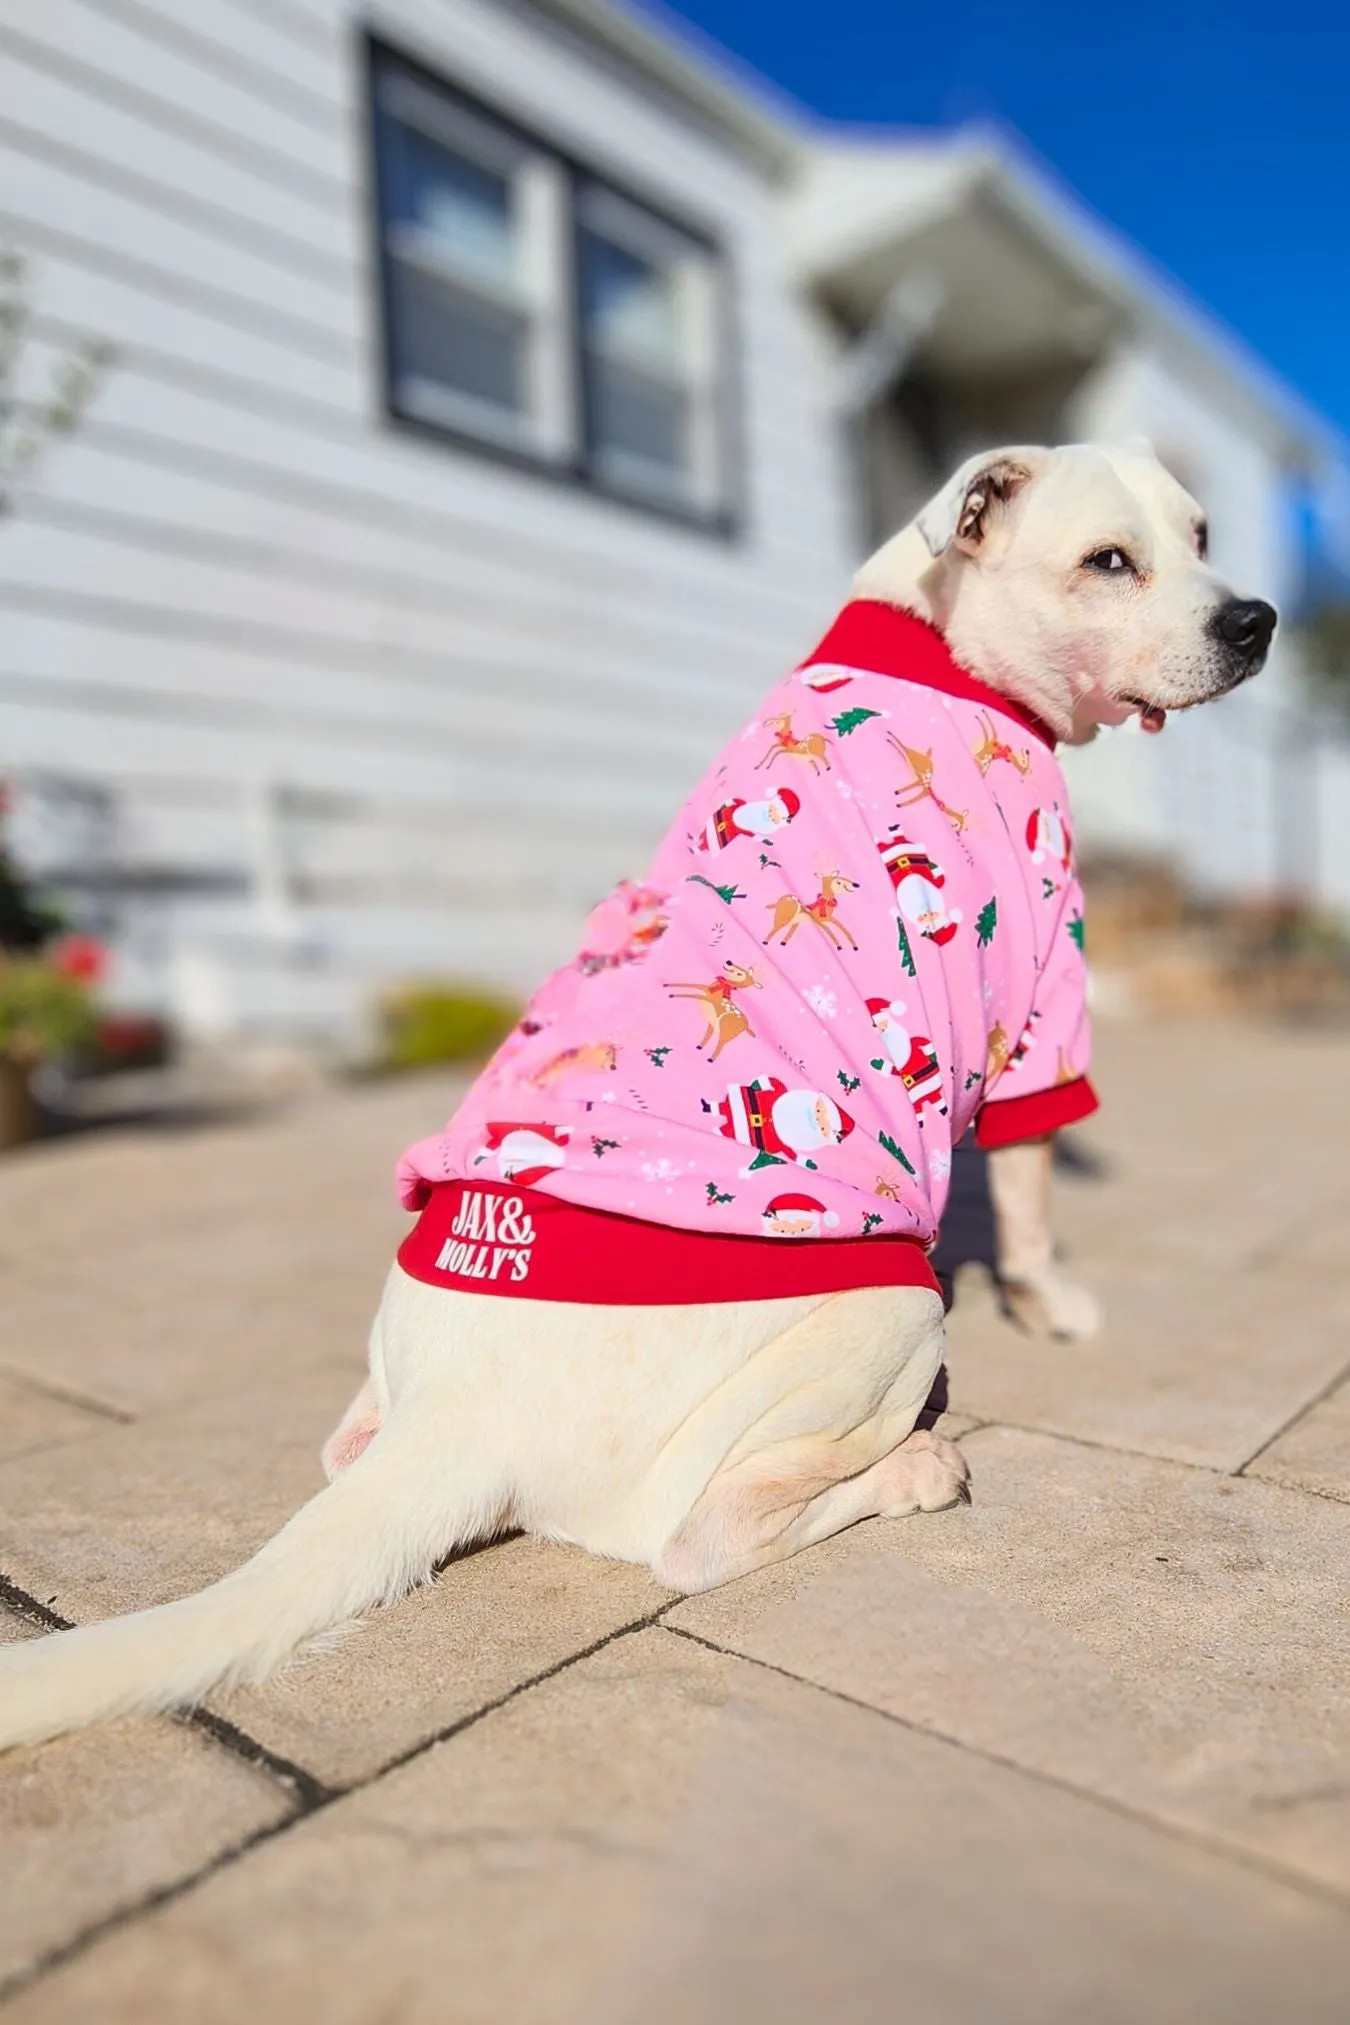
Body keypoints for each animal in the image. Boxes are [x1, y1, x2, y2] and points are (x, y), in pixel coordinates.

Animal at [0, 443, 1279, 1757]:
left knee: (345, 1447)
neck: (939, 637)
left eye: (1201, 533)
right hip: (890, 1312)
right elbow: (1028, 1190)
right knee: (708, 1536)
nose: (1257, 621)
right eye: (1108, 561)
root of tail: (457, 1414)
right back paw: (916, 1470)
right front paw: (1054, 1303)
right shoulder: (1041, 992)